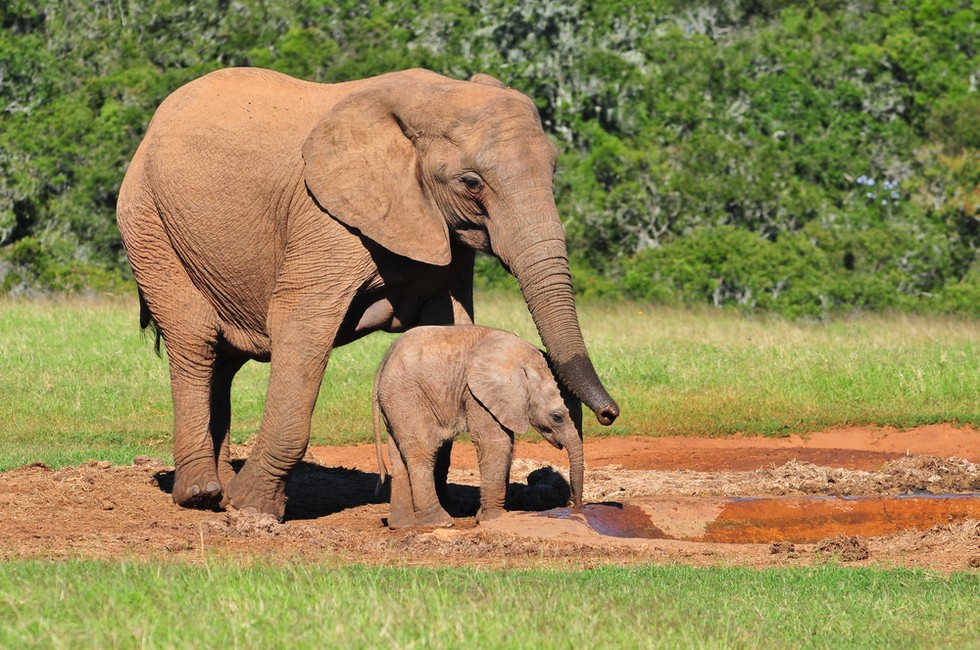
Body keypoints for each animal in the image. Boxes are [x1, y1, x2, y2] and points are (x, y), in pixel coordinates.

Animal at [374, 324, 580, 528]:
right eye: (557, 417)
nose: (576, 507)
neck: (524, 361)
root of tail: (381, 367)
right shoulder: (477, 394)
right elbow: (494, 443)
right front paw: (494, 519)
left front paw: (487, 515)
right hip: (408, 397)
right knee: (423, 453)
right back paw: (439, 522)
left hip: (395, 404)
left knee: (399, 458)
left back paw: (402, 524)